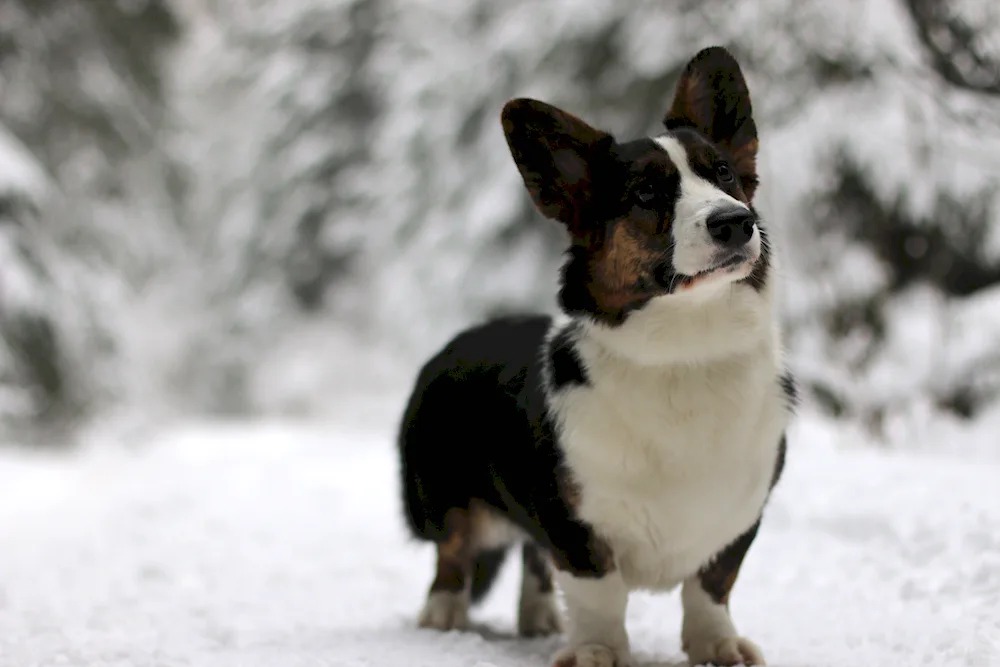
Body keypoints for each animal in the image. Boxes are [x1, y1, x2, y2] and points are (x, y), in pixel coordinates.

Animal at [398, 47, 796, 667]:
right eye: (647, 194)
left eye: (724, 174)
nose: (735, 221)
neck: (686, 348)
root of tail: (457, 341)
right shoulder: (570, 517)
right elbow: (600, 591)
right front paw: (597, 650)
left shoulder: (739, 515)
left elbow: (711, 586)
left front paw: (717, 646)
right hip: (443, 491)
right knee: (455, 552)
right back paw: (444, 616)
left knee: (530, 559)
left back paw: (539, 619)